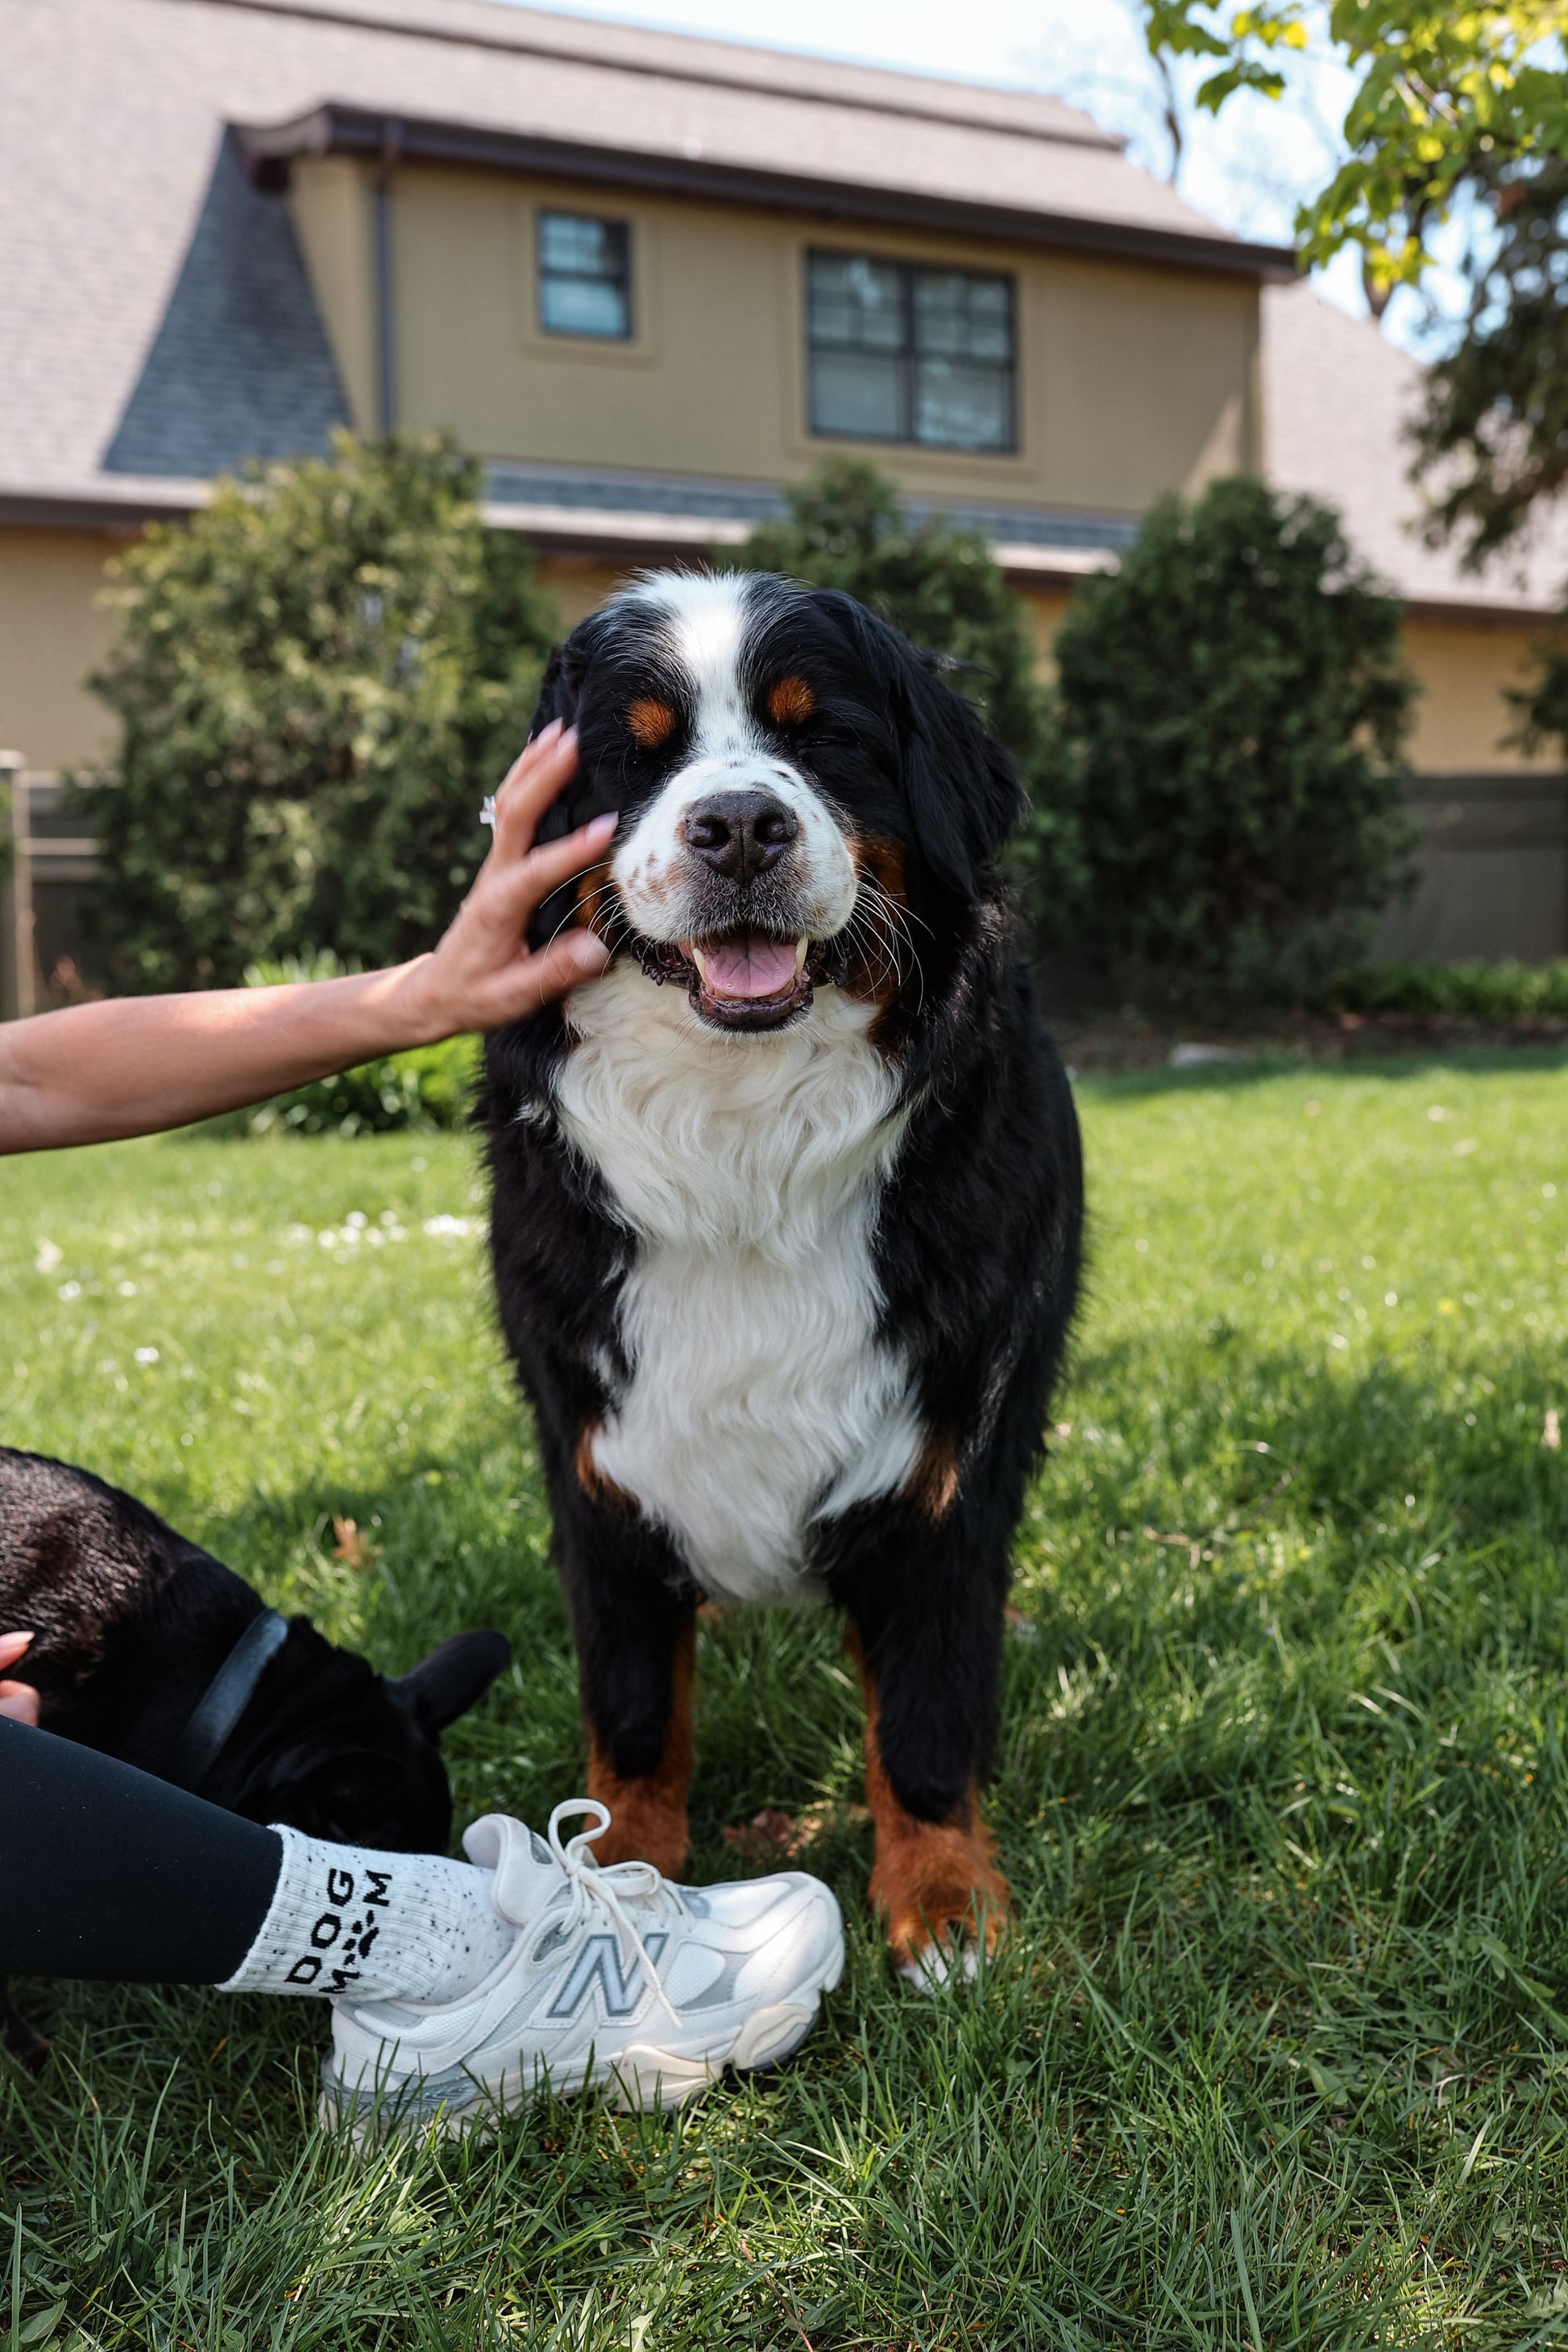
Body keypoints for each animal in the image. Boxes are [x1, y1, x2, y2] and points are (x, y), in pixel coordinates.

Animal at [484, 569, 1085, 1985]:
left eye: (826, 739)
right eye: (634, 753)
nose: (742, 824)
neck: (740, 1145)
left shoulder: (945, 1463)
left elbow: (924, 1709)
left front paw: (942, 1897)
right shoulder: (598, 1461)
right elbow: (634, 1708)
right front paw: (625, 1878)